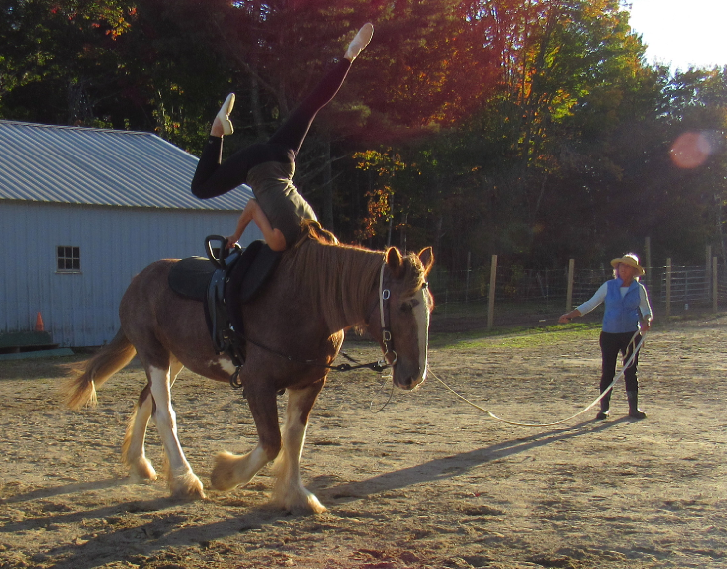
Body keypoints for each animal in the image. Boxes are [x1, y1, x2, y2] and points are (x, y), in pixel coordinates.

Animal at [62, 224, 432, 512]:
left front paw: (294, 494)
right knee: (164, 412)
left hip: (174, 357)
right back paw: (185, 480)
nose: (413, 375)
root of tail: (139, 279)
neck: (308, 300)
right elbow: (272, 443)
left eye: (429, 305)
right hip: (153, 353)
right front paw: (225, 475)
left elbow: (294, 437)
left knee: (146, 401)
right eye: (402, 306)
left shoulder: (310, 382)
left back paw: (140, 464)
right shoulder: (257, 384)